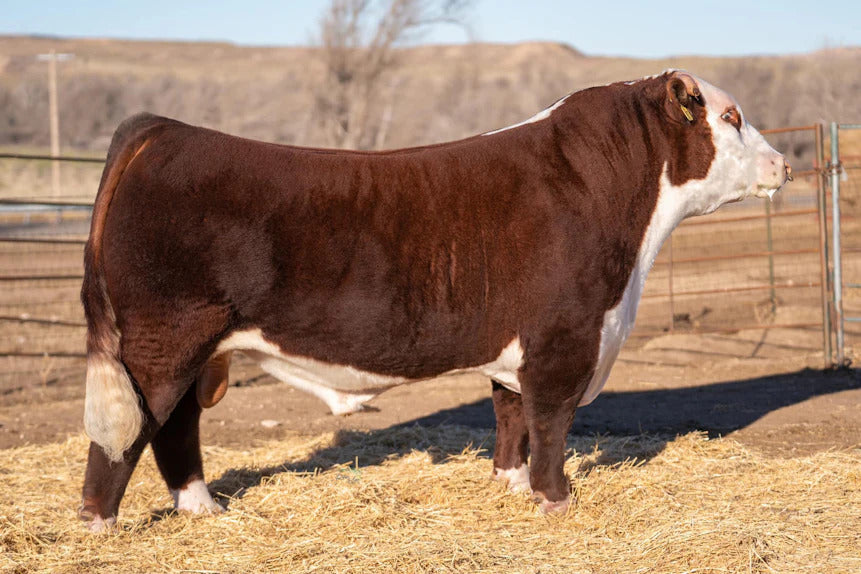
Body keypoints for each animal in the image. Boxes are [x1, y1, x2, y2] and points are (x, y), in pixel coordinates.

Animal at [78, 70, 791, 531]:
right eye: (731, 117)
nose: (784, 164)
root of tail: (161, 131)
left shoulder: (519, 344)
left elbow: (511, 417)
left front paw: (510, 485)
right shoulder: (564, 341)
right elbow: (551, 423)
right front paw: (556, 500)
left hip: (195, 347)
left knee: (174, 427)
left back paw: (202, 506)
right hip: (163, 339)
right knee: (133, 429)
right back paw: (100, 524)